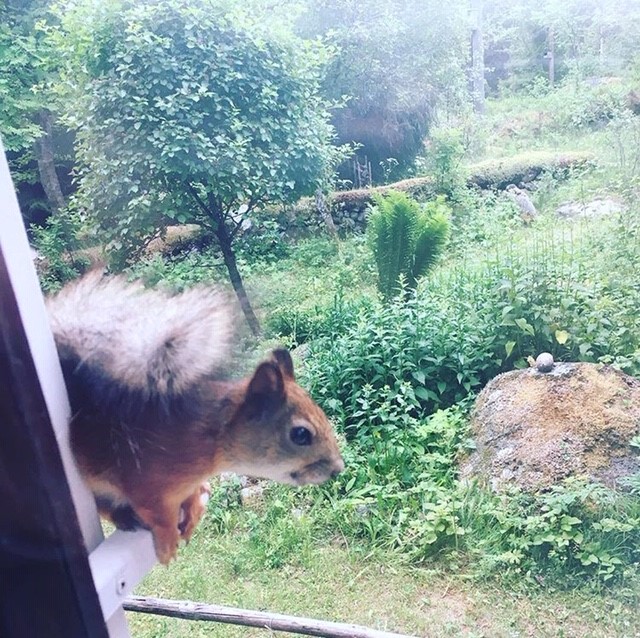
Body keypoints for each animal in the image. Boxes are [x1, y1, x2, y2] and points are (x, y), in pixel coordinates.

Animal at [46, 273, 344, 564]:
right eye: (301, 434)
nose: (338, 468)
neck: (209, 442)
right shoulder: (146, 482)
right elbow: (158, 514)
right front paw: (167, 540)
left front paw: (191, 511)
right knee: (106, 506)